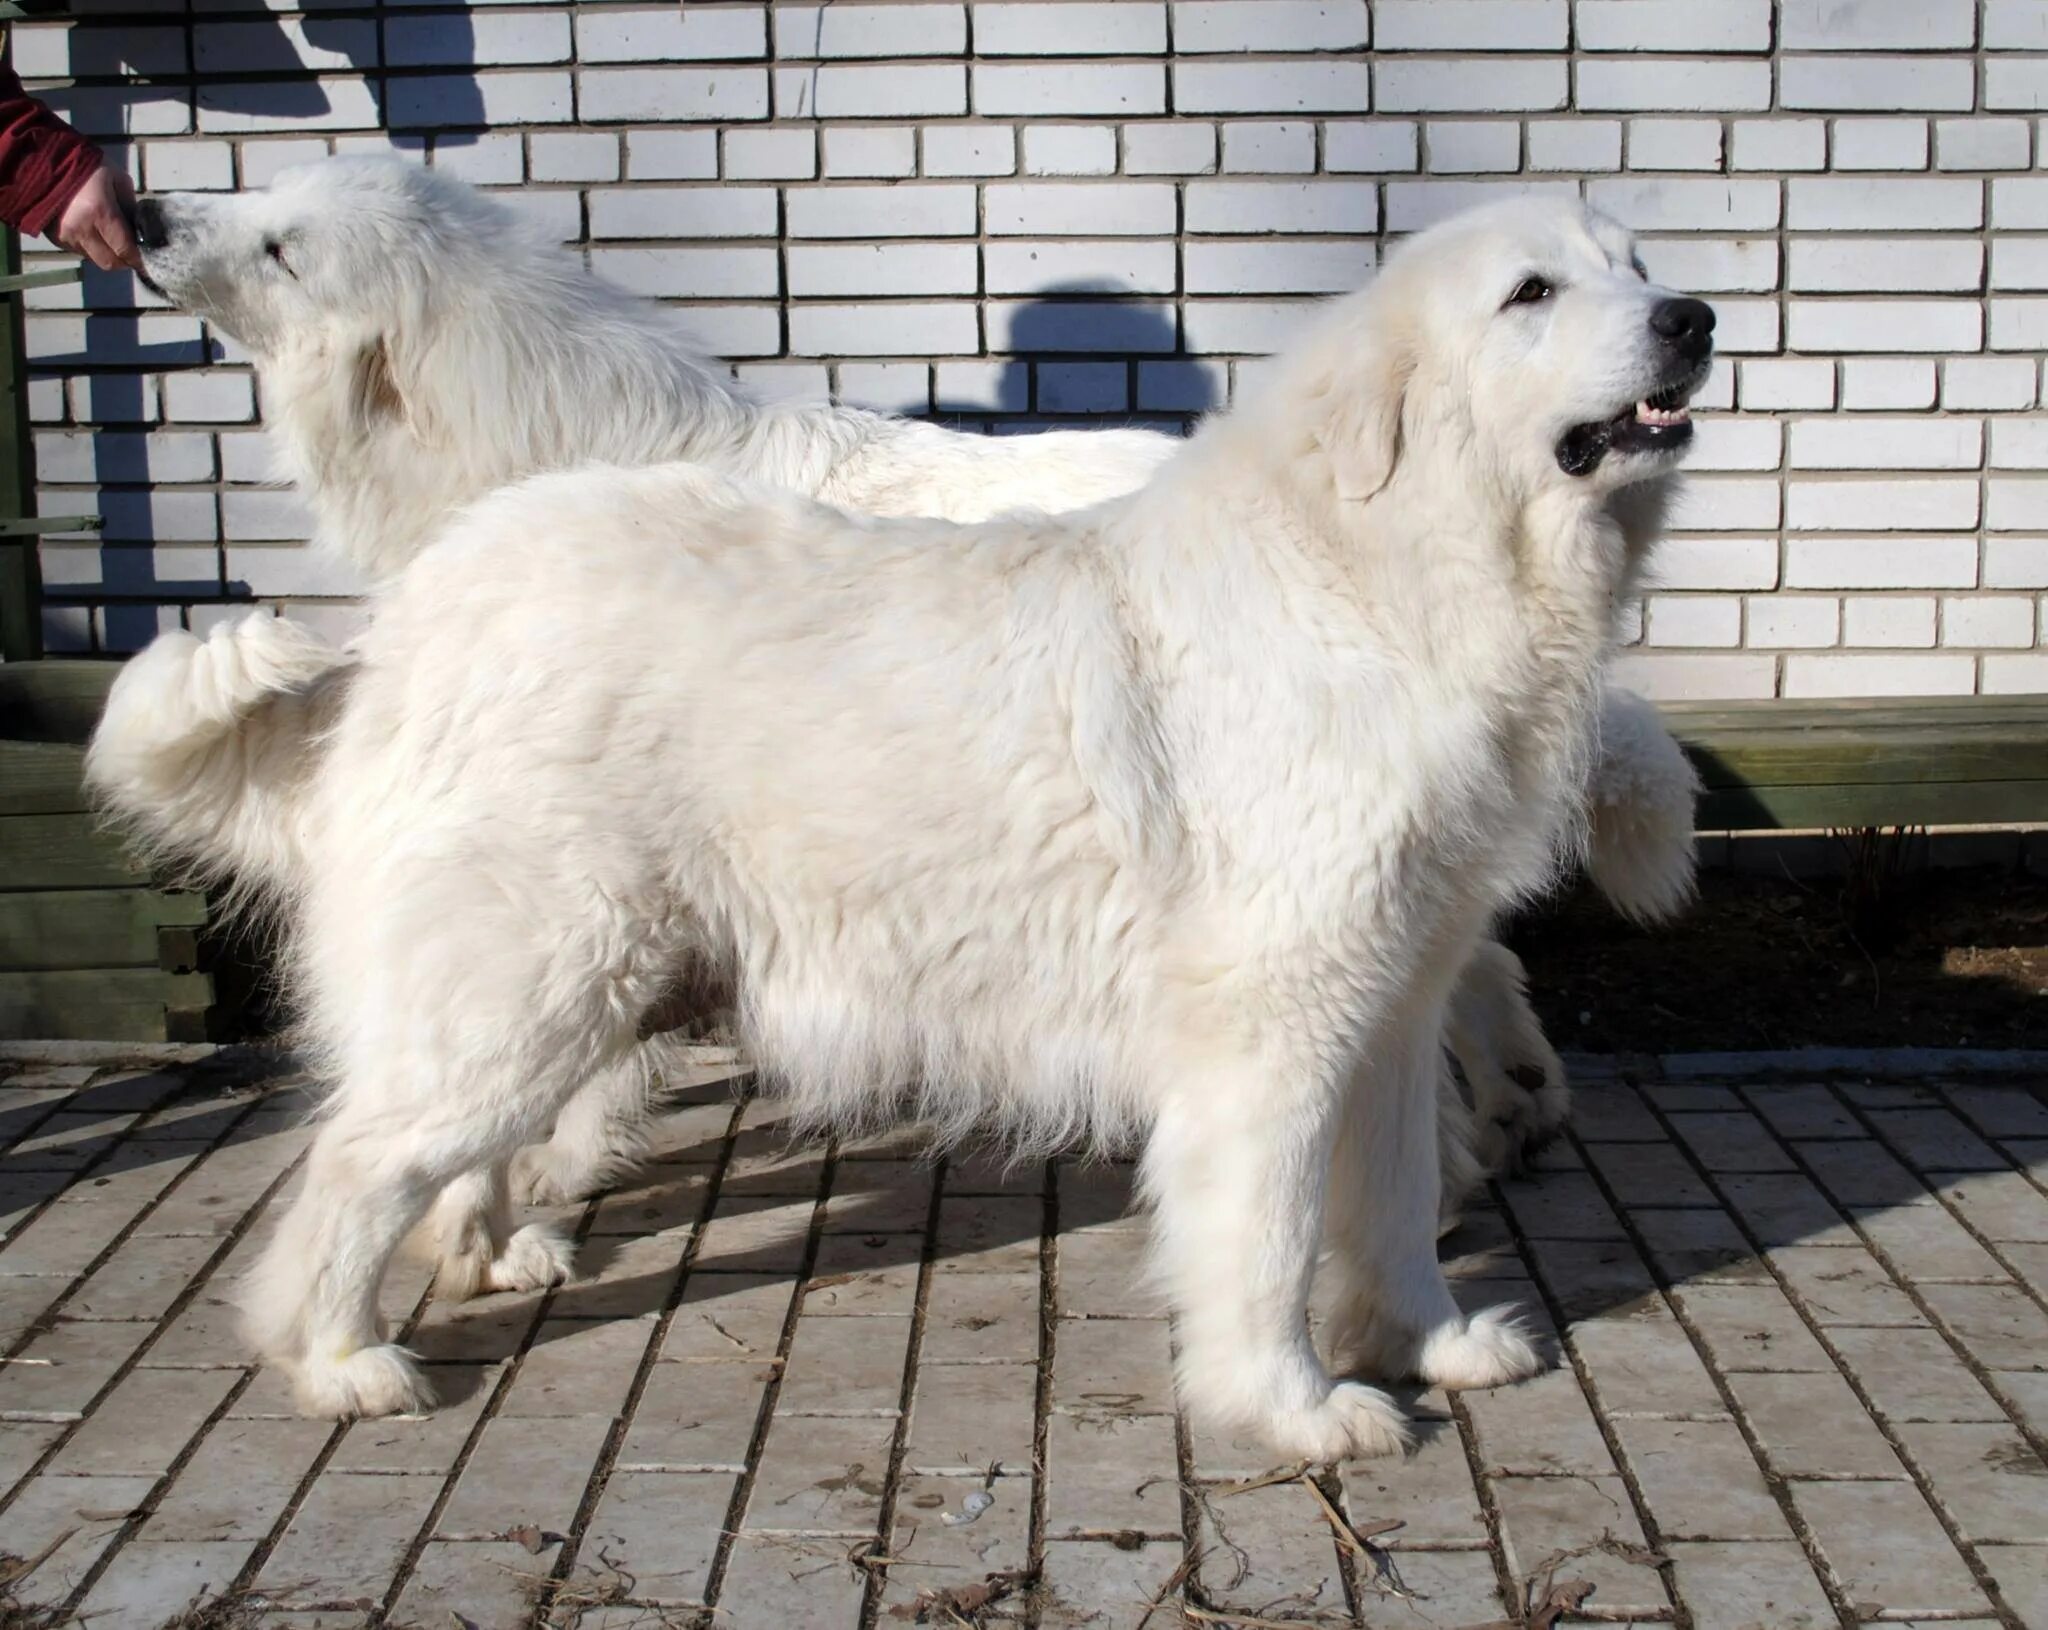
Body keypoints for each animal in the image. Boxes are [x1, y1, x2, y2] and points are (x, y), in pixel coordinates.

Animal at [92, 191, 1712, 1449]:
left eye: (1634, 264)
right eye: (1531, 293)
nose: (1695, 315)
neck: (1378, 573)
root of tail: (421, 614)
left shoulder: (1386, 1002)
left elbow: (1385, 1196)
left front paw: (1426, 1343)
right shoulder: (1276, 1023)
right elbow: (1260, 1239)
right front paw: (1290, 1406)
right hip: (530, 992)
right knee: (354, 1167)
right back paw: (341, 1358)